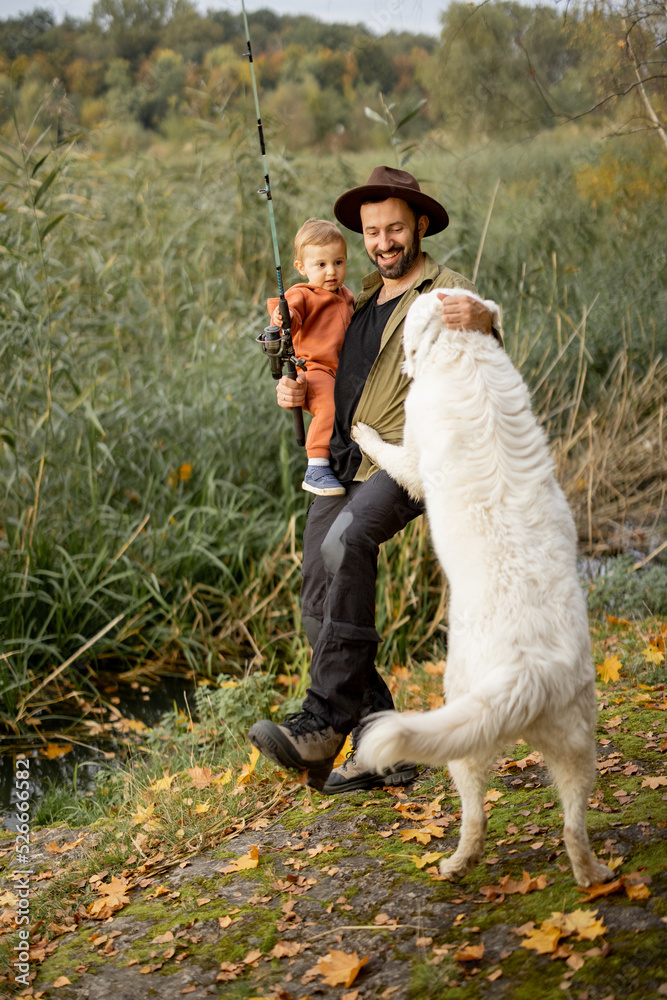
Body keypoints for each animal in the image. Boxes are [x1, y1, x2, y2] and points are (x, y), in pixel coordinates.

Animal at [354, 288, 616, 884]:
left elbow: (391, 453)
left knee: (474, 813)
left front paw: (362, 432)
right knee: (574, 823)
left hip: (461, 729)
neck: (462, 353)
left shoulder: (414, 457)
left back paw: (456, 863)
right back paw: (592, 874)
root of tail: (527, 672)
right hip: (578, 744)